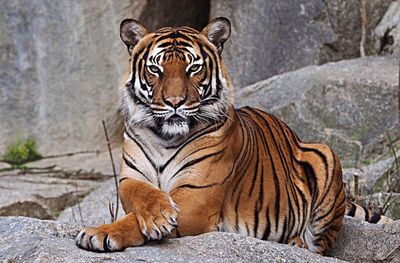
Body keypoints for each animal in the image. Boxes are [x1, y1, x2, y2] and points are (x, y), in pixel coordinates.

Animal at [74, 17, 390, 256]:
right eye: (155, 69)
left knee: (319, 247)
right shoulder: (130, 178)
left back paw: (297, 242)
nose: (175, 102)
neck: (165, 137)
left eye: (193, 68)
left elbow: (132, 220)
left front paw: (101, 233)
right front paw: (154, 213)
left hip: (325, 155)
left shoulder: (196, 196)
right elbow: (142, 195)